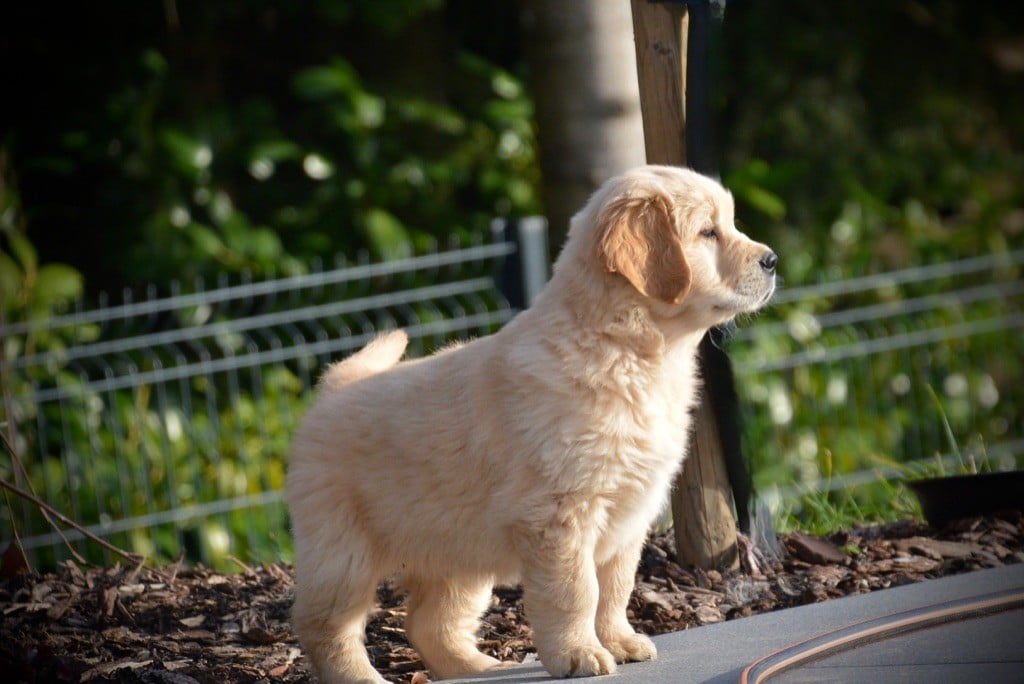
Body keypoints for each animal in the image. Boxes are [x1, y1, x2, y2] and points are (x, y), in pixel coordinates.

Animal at [288, 165, 774, 684]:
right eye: (707, 232)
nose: (772, 260)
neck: (626, 351)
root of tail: (336, 385)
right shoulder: (560, 513)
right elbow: (576, 592)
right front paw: (579, 654)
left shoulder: (630, 512)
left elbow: (616, 587)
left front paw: (620, 641)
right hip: (344, 550)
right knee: (326, 624)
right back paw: (364, 677)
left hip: (457, 548)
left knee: (430, 622)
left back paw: (478, 666)